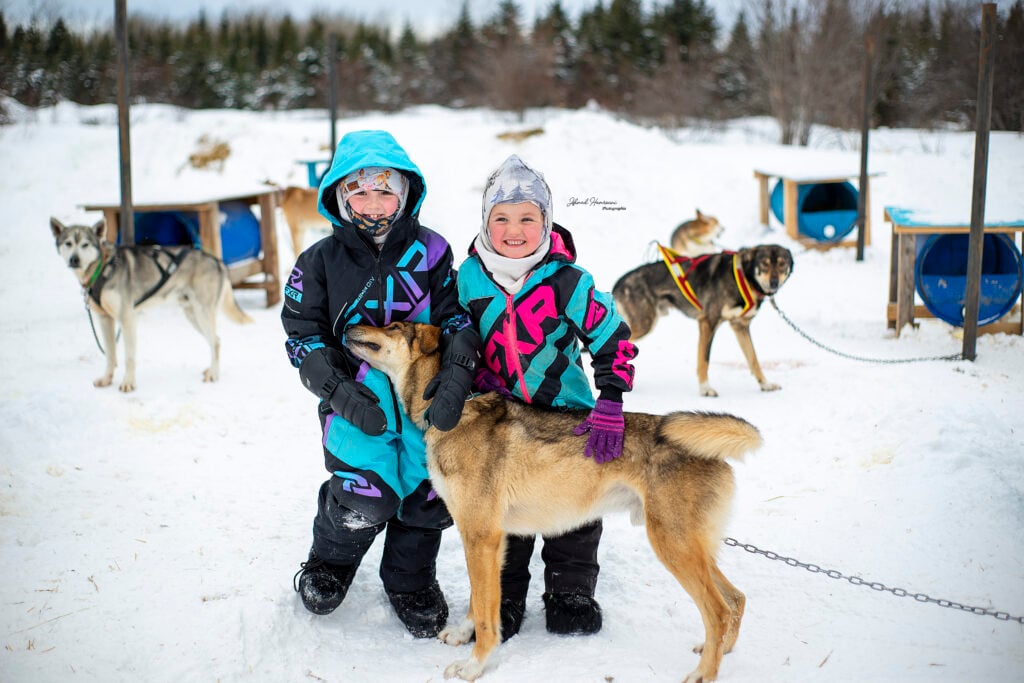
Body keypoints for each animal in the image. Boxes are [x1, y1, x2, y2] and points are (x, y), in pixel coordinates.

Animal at [610, 245, 794, 397]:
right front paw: (705, 388)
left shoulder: (740, 327)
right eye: (764, 264)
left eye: (782, 264)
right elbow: (704, 360)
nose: (774, 282)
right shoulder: (708, 323)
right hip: (644, 325)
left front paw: (765, 384)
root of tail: (619, 283)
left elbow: (753, 359)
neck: (742, 277)